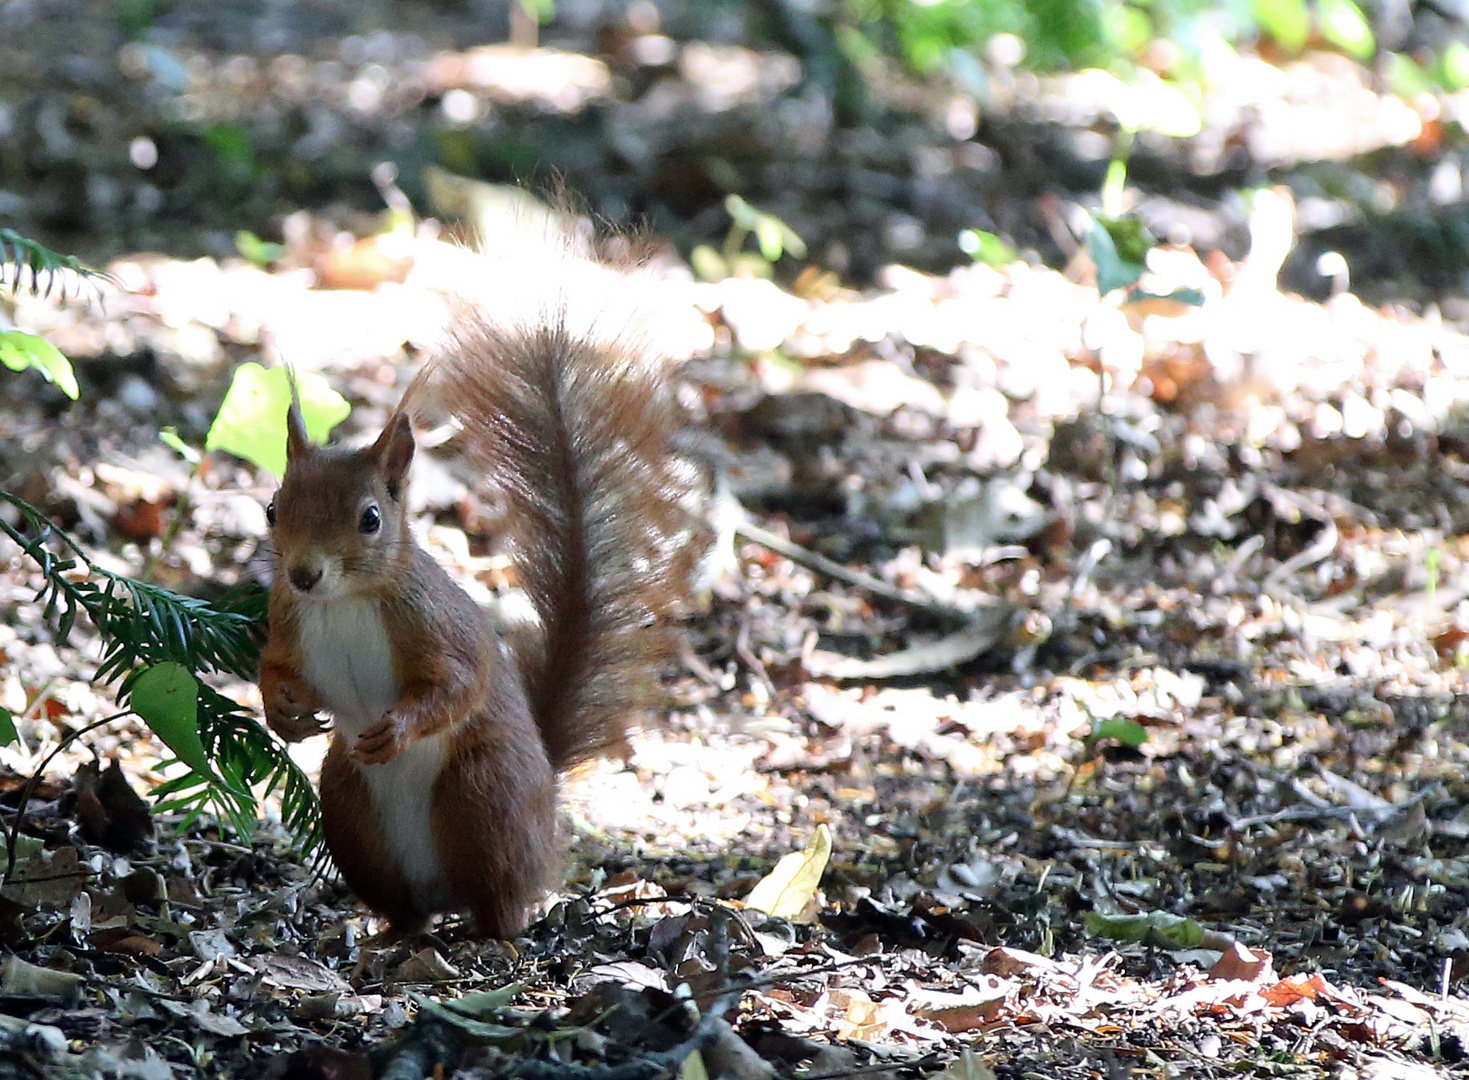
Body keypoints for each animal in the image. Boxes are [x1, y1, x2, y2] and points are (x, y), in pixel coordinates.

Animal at [257, 314, 693, 940]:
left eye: (371, 519)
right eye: (273, 508)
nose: (303, 574)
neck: (343, 602)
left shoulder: (436, 625)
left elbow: (460, 683)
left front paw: (398, 728)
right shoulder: (287, 619)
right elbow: (272, 666)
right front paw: (282, 713)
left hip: (486, 794)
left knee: (502, 903)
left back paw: (489, 936)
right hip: (349, 809)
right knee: (406, 908)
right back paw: (393, 935)